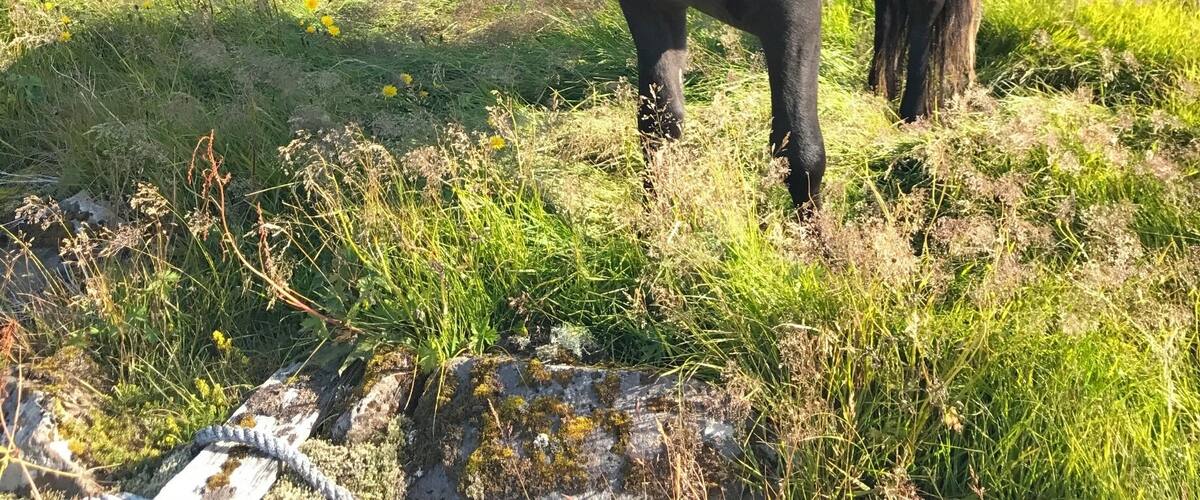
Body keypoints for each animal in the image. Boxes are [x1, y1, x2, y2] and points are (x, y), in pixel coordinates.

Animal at [619, 0, 982, 213]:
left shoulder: (794, 18)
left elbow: (802, 154)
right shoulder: (650, 9)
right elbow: (658, 125)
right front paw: (655, 230)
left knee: (923, 21)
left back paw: (913, 117)